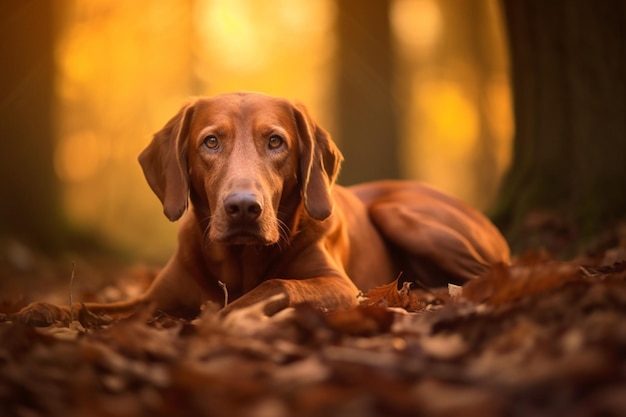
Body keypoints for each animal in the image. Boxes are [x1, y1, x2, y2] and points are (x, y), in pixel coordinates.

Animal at [17, 92, 510, 324]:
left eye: (275, 142)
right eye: (210, 142)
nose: (242, 208)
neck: (237, 261)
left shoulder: (338, 286)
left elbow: (272, 285)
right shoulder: (154, 298)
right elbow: (93, 306)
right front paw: (42, 310)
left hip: (403, 214)